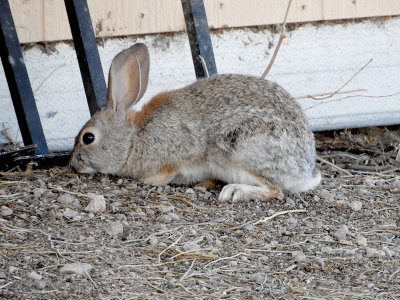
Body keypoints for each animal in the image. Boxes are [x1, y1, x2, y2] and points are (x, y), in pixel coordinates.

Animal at [69, 42, 322, 202]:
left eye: (88, 137)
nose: (72, 166)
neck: (133, 138)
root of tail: (304, 172)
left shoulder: (177, 152)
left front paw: (153, 180)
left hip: (244, 148)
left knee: (275, 189)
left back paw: (234, 192)